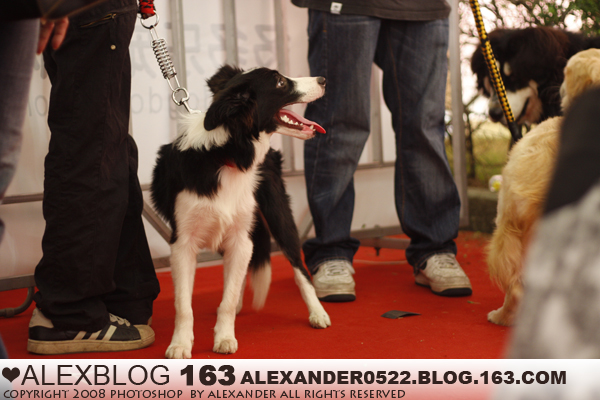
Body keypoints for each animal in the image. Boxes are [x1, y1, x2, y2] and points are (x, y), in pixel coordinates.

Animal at [151, 65, 331, 358]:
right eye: (280, 83)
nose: (323, 79)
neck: (227, 155)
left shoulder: (241, 238)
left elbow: (230, 293)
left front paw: (224, 337)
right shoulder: (182, 243)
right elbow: (183, 304)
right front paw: (180, 343)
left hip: (279, 216)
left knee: (299, 267)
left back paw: (317, 312)